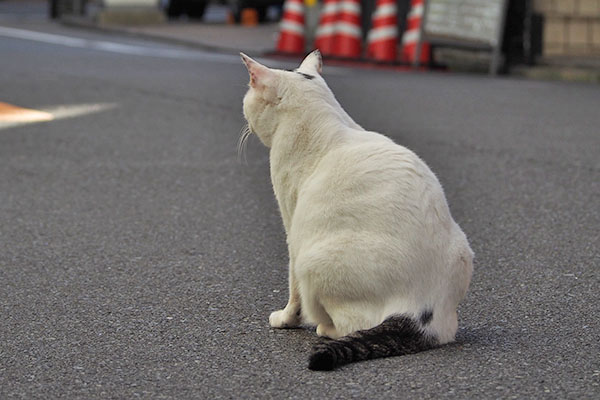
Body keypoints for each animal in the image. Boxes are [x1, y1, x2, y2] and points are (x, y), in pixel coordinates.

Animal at [239, 50, 474, 372]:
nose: (245, 122)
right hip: (463, 249)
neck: (325, 122)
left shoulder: (291, 226)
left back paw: (324, 327)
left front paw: (286, 319)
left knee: (352, 323)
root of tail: (421, 311)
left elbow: (293, 292)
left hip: (313, 259)